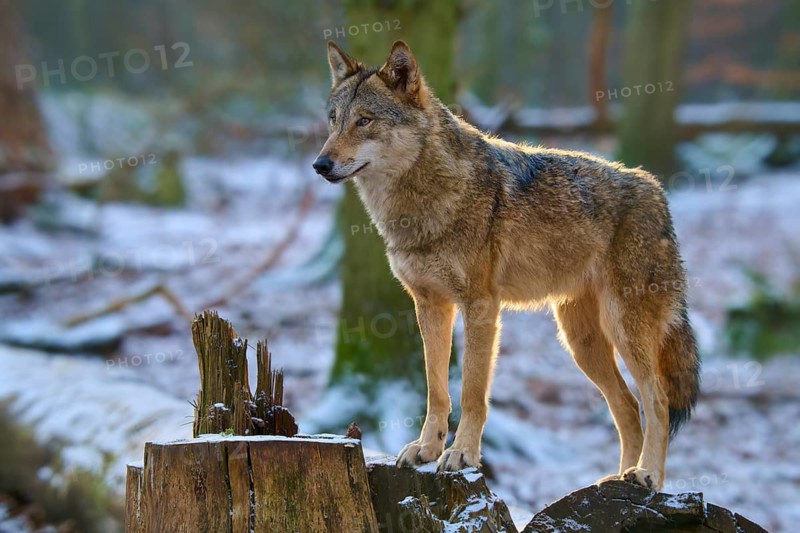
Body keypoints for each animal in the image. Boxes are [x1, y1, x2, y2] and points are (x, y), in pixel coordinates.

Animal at [313, 40, 699, 490]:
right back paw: (616, 478)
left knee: (657, 401)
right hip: (581, 344)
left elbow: (472, 393)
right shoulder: (429, 306)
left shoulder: (480, 307)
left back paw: (648, 475)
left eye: (365, 121)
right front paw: (427, 449)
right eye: (334, 120)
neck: (423, 202)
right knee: (626, 406)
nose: (320, 165)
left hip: (623, 329)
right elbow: (436, 390)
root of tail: (656, 190)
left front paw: (461, 454)